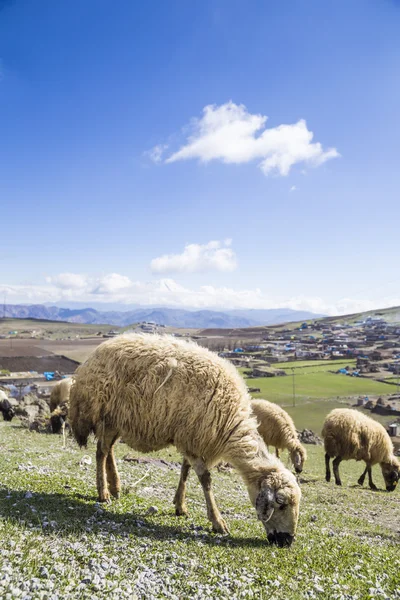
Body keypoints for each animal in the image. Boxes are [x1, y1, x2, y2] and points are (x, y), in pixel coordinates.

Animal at [69, 336, 300, 548]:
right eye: (281, 504)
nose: (287, 541)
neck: (231, 425)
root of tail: (90, 360)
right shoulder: (191, 438)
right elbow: (205, 479)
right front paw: (217, 522)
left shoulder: (190, 438)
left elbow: (185, 471)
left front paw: (180, 505)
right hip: (105, 414)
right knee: (101, 452)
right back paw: (103, 493)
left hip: (119, 420)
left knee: (109, 450)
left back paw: (115, 487)